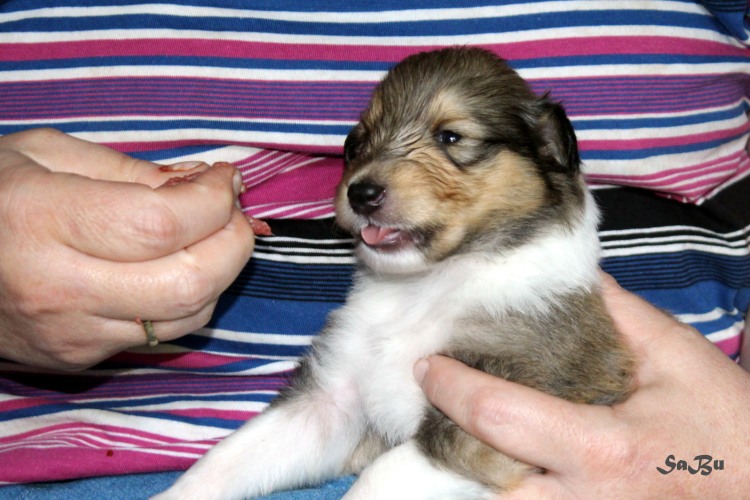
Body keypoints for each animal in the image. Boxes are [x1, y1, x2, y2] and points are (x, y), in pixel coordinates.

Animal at [157, 47, 633, 499]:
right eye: (361, 140)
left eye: (450, 136)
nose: (361, 193)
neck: (426, 287)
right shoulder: (330, 399)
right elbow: (226, 460)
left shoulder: (497, 414)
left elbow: (380, 477)